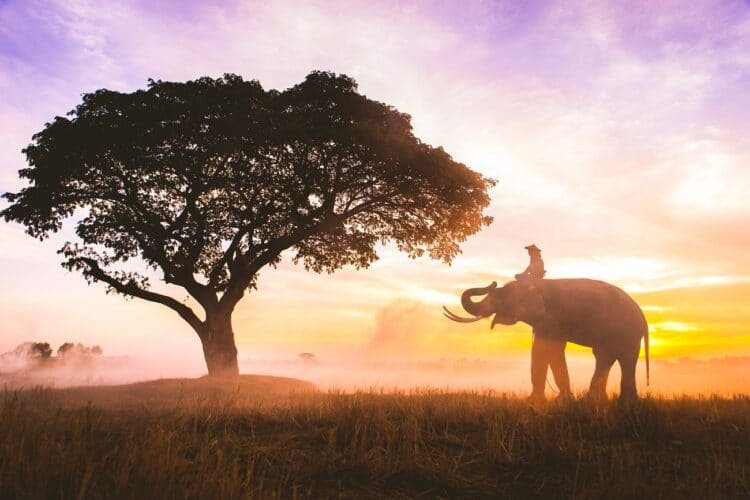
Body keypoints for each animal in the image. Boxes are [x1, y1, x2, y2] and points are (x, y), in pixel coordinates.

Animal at [443, 279, 649, 401]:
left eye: (500, 300)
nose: (492, 283)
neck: (536, 284)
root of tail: (643, 318)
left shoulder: (552, 318)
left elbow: (546, 349)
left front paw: (542, 401)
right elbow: (546, 349)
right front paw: (554, 400)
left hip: (626, 332)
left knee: (622, 359)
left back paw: (618, 402)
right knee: (607, 358)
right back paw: (601, 400)